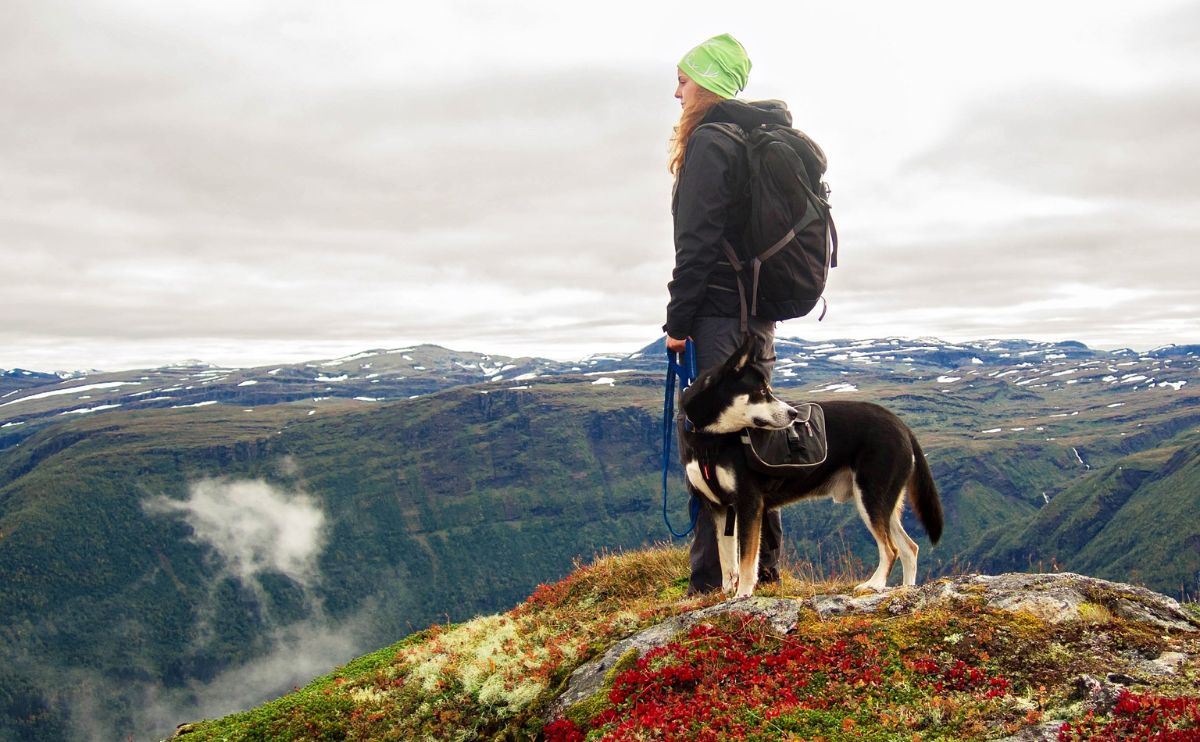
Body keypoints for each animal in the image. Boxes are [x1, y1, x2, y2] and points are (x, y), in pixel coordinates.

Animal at [681, 333, 940, 595]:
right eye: (762, 391)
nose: (793, 414)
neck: (710, 438)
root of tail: (902, 426)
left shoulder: (749, 503)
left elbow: (746, 561)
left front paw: (743, 594)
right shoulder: (720, 508)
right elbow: (727, 561)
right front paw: (725, 595)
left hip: (871, 497)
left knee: (891, 549)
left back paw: (874, 584)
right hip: (883, 503)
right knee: (910, 548)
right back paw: (906, 589)